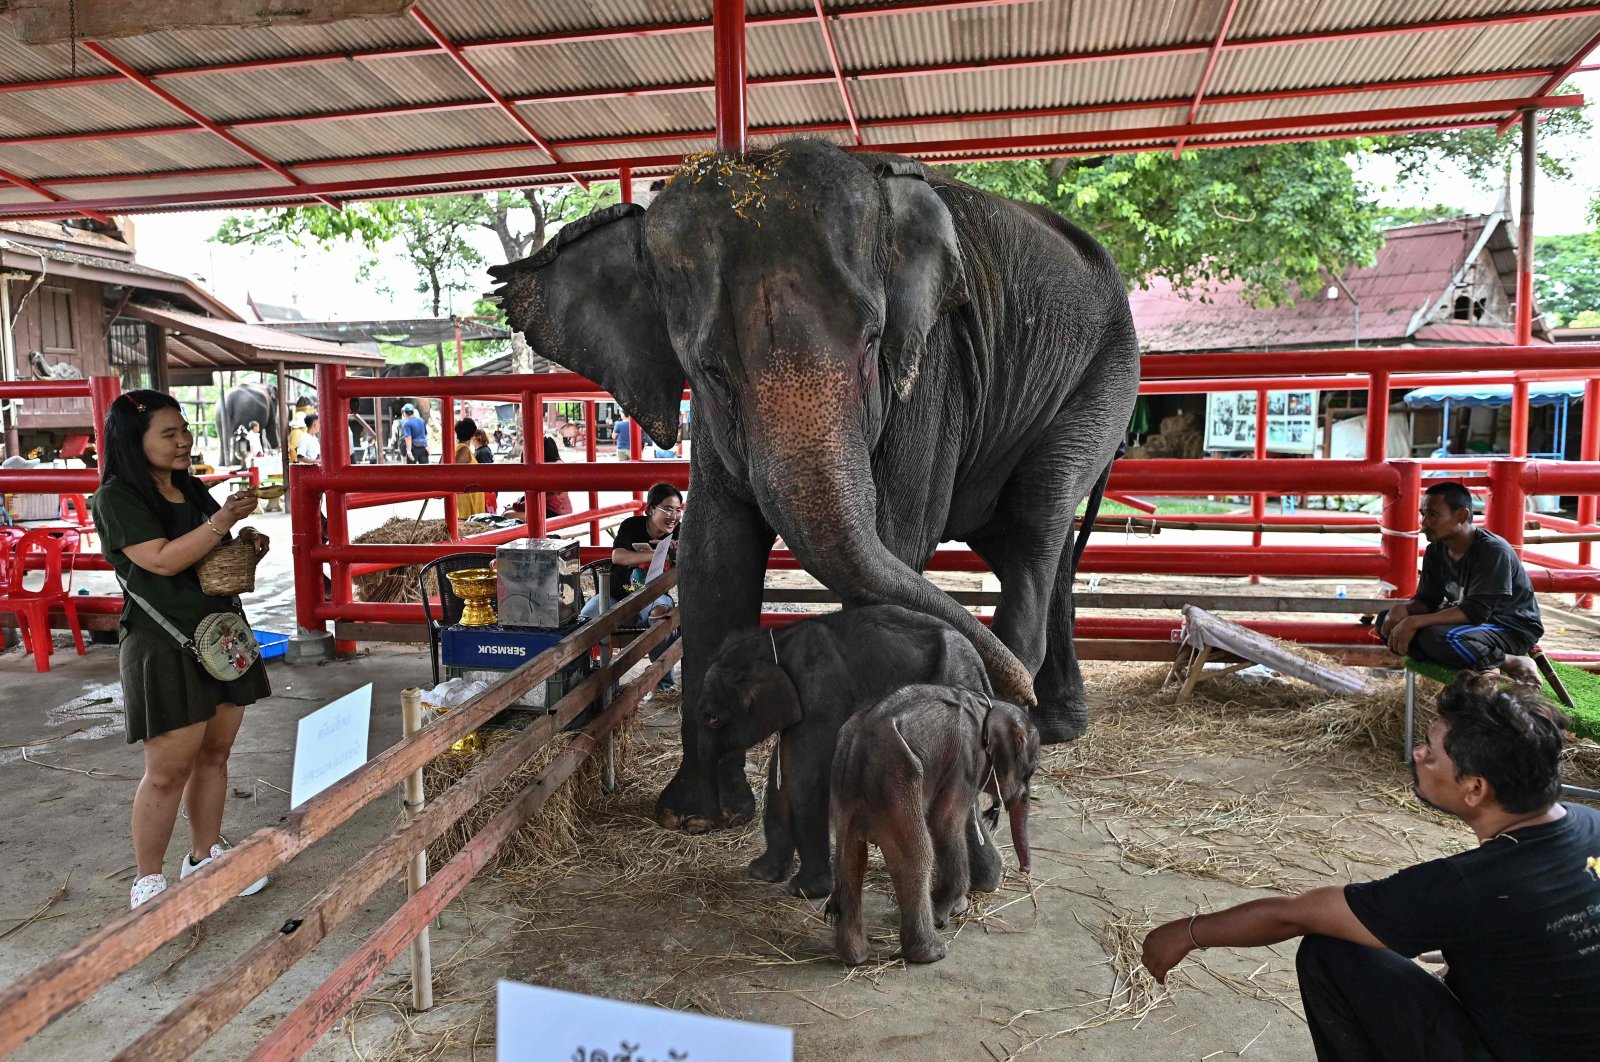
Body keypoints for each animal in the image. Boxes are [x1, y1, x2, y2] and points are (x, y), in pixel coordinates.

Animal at [492, 136, 1145, 831]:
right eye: (711, 371)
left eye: (873, 343)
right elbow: (713, 556)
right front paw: (698, 818)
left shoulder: (930, 376)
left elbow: (893, 540)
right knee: (1037, 548)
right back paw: (1050, 724)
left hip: (1105, 380)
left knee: (1033, 528)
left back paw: (1010, 745)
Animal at [697, 604, 985, 895]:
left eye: (712, 718)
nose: (718, 821)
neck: (774, 641)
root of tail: (978, 661)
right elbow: (780, 773)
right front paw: (761, 874)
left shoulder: (819, 698)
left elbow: (803, 778)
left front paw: (805, 890)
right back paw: (981, 884)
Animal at [832, 684, 1043, 966]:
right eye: (1029, 772)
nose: (1025, 870)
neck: (989, 706)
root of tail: (858, 749)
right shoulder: (966, 759)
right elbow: (946, 822)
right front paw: (946, 914)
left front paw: (958, 908)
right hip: (899, 783)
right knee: (916, 855)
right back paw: (932, 953)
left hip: (846, 788)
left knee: (850, 858)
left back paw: (855, 957)